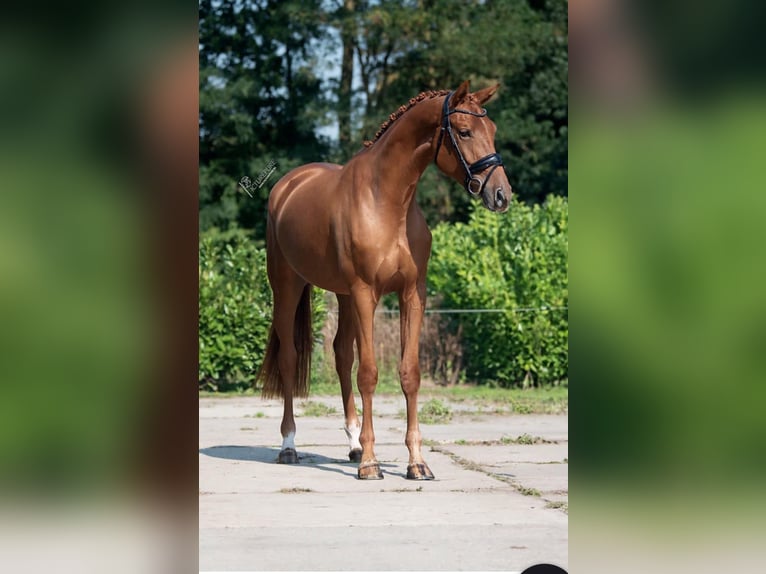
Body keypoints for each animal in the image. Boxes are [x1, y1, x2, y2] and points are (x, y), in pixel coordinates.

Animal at [260, 81, 516, 482]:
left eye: (492, 130)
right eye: (463, 132)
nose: (501, 195)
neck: (387, 201)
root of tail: (287, 186)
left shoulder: (411, 294)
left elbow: (409, 373)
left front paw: (416, 463)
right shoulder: (367, 293)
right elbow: (368, 373)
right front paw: (370, 464)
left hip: (343, 295)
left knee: (340, 354)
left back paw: (352, 443)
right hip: (288, 286)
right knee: (290, 358)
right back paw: (289, 446)